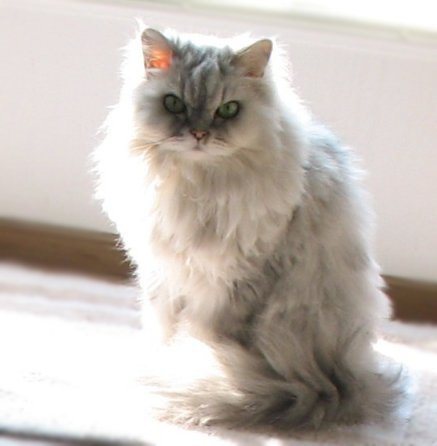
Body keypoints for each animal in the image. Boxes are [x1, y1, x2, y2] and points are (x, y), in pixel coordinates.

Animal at [93, 27, 400, 428]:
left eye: (228, 110)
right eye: (174, 104)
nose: (199, 134)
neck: (198, 187)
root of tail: (337, 383)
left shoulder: (237, 284)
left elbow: (205, 337)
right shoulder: (164, 276)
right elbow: (163, 329)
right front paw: (162, 356)